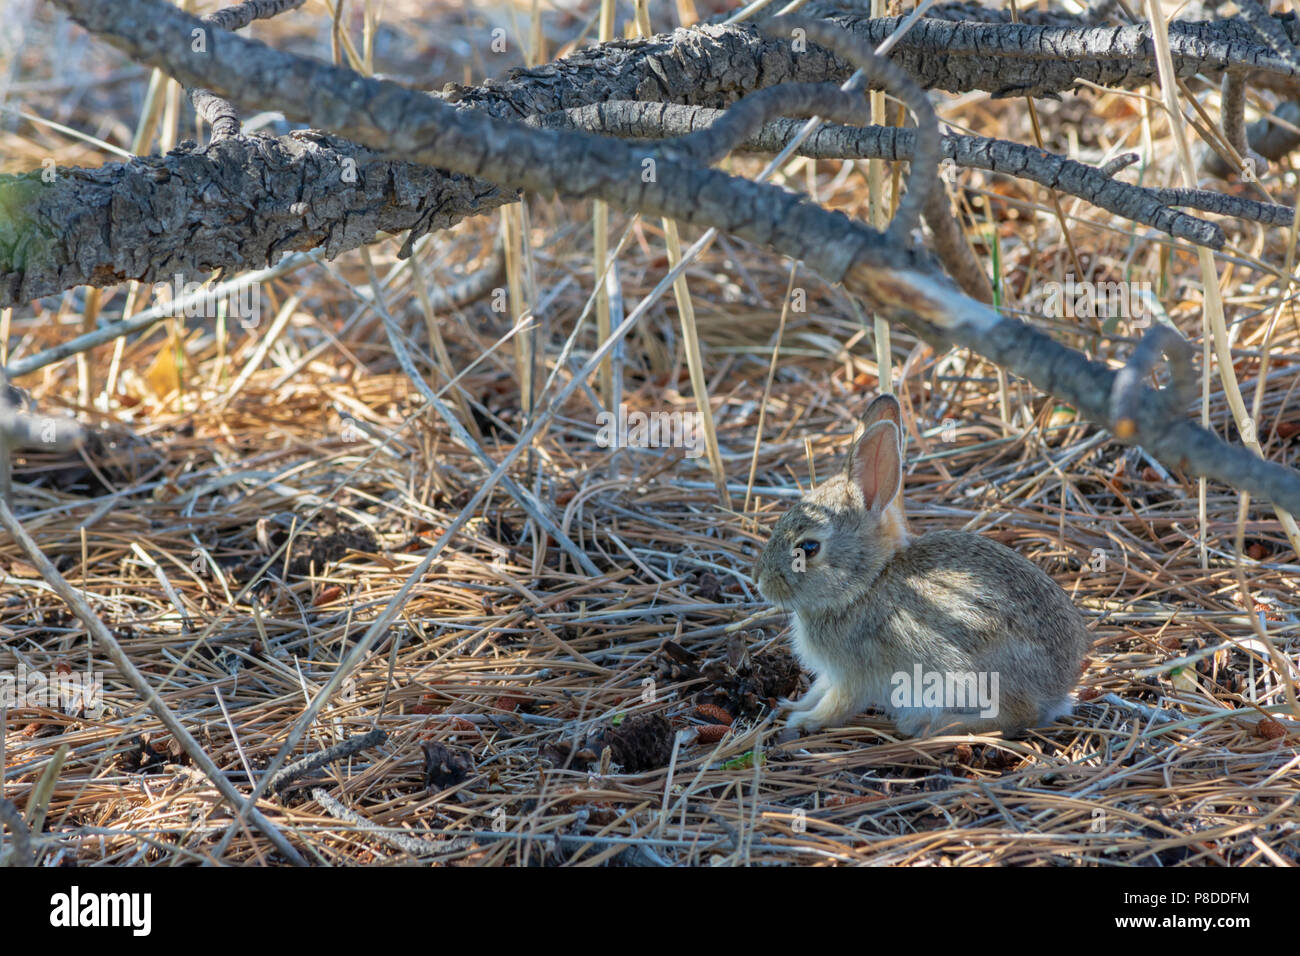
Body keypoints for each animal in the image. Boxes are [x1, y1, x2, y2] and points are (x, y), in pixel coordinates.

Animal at [754, 392, 1086, 738]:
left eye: (808, 548)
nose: (760, 581)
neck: (868, 582)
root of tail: (1058, 689)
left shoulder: (854, 675)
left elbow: (836, 705)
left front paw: (802, 722)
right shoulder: (831, 674)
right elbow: (818, 691)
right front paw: (790, 705)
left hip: (975, 673)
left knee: (1018, 715)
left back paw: (930, 723)